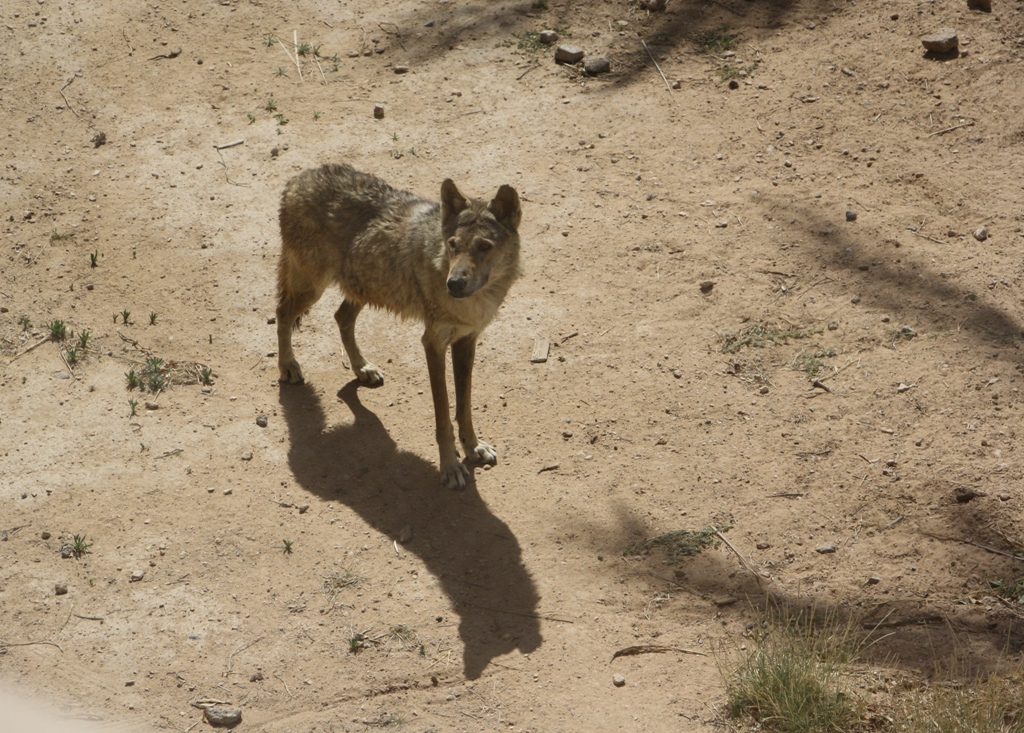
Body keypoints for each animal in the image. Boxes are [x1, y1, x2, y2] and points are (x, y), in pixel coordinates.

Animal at [276, 162, 524, 489]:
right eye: (453, 245)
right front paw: (450, 466)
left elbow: (464, 407)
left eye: (484, 246)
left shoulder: (467, 340)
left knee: (341, 317)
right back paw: (288, 367)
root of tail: (298, 178)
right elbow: (443, 415)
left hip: (363, 289)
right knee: (282, 312)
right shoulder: (433, 343)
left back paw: (362, 369)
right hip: (313, 289)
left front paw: (473, 447)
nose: (454, 284)